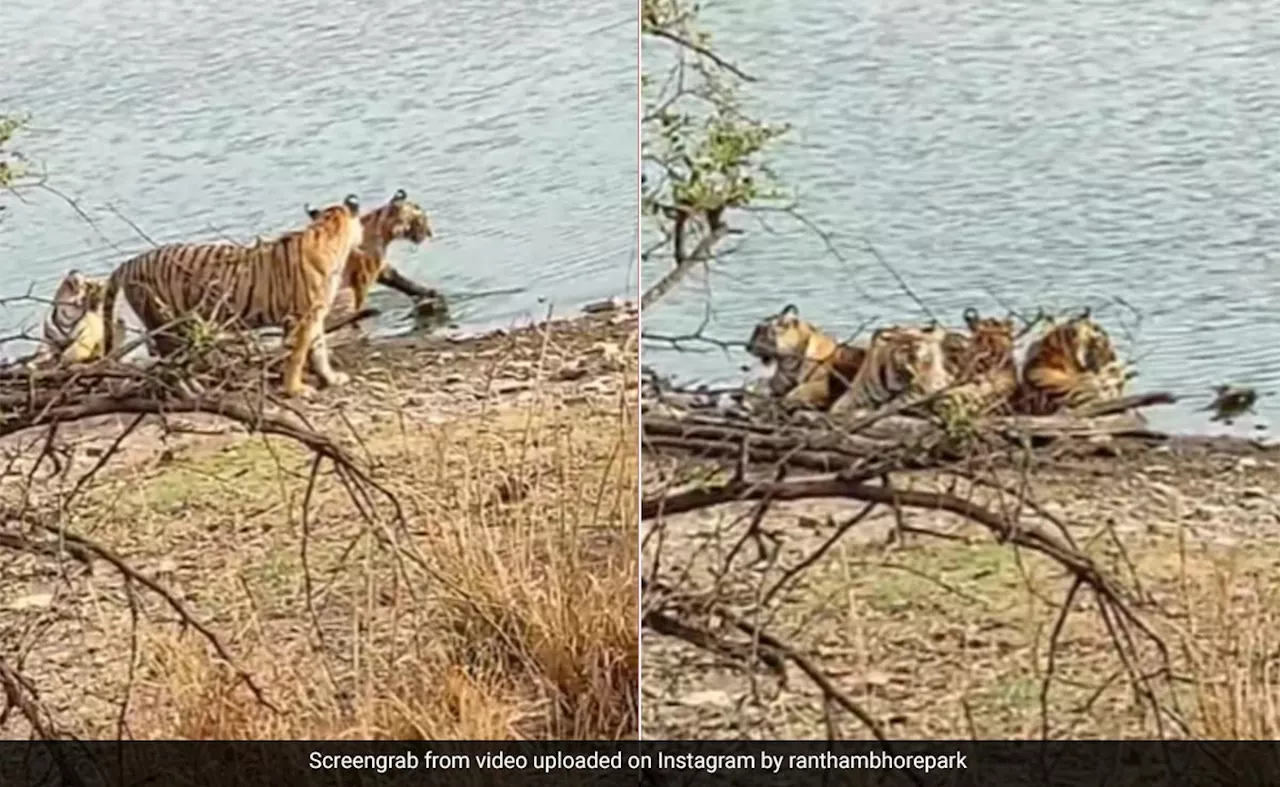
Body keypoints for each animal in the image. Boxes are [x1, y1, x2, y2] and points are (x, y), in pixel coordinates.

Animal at [103, 194, 366, 396]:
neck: (328, 229)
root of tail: (130, 262)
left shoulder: (316, 315)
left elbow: (320, 349)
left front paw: (331, 378)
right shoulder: (301, 318)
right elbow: (297, 356)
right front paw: (296, 390)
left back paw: (197, 389)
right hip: (167, 325)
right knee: (172, 365)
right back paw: (192, 392)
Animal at [320, 188, 435, 330]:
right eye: (422, 219)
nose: (430, 233)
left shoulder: (381, 267)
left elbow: (403, 282)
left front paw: (427, 292)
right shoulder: (367, 271)